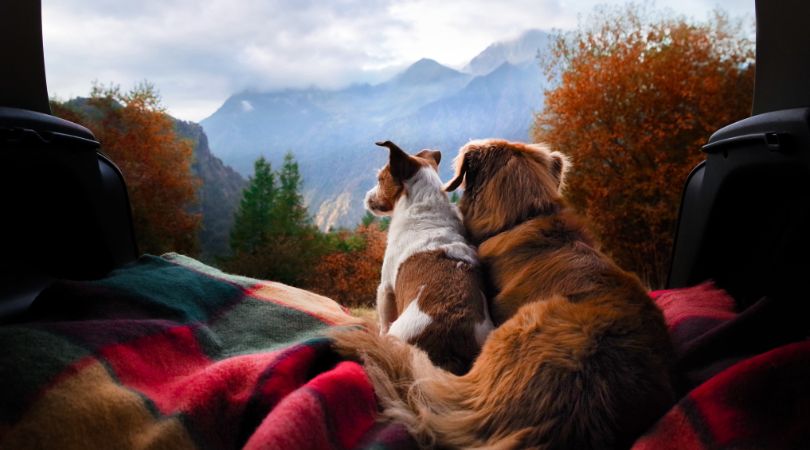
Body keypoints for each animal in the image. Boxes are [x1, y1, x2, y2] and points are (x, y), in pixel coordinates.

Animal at [362, 140, 490, 372]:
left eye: (380, 179)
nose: (366, 197)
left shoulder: (385, 288)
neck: (425, 208)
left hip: (398, 335)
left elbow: (383, 319)